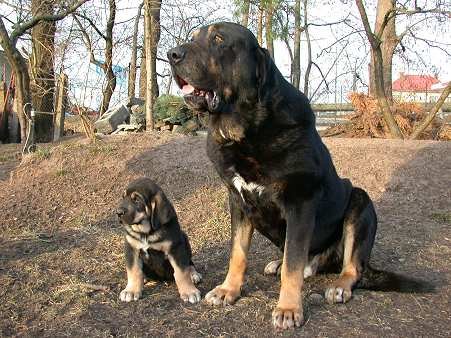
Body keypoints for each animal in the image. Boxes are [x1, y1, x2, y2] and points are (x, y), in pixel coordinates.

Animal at [168, 22, 426, 328]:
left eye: (218, 39)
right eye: (194, 38)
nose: (172, 54)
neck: (247, 129)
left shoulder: (300, 203)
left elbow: (292, 265)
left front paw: (289, 309)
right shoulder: (238, 202)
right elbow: (238, 253)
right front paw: (228, 290)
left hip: (360, 201)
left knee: (352, 267)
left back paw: (339, 286)